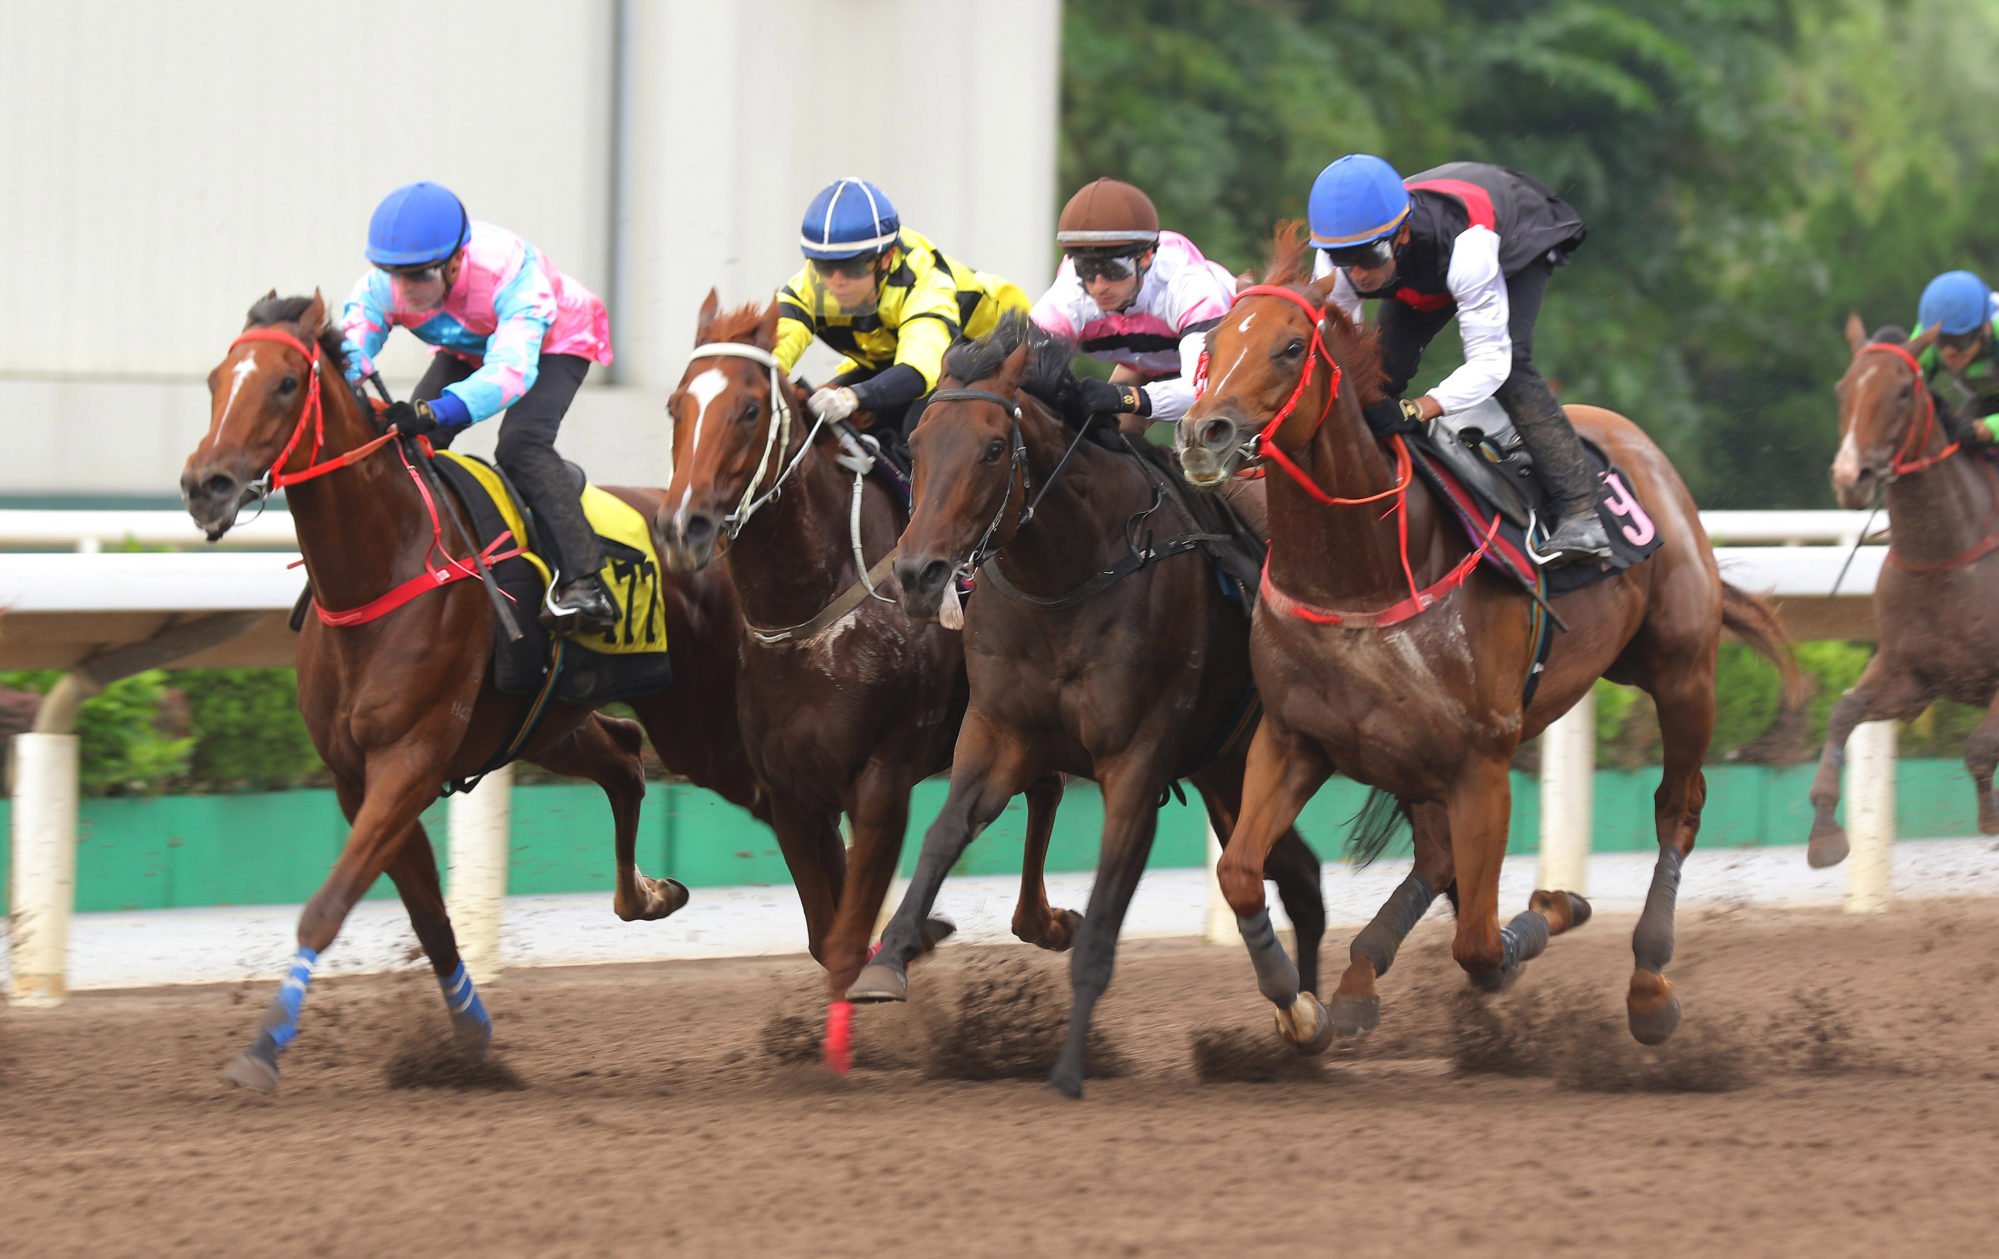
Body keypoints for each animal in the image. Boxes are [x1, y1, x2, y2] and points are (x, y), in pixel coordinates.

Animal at [181, 293, 763, 1095]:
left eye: (284, 385)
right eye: (215, 380)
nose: (205, 484)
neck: (381, 568)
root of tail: (703, 531)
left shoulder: (409, 759)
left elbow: (326, 907)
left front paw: (263, 1047)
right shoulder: (356, 777)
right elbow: (429, 917)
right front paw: (468, 1040)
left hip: (700, 723)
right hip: (553, 721)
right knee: (623, 756)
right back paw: (646, 894)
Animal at [651, 295, 1063, 1079]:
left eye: (748, 410)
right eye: (674, 406)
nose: (683, 526)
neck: (816, 605)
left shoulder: (883, 780)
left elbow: (844, 940)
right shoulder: (790, 790)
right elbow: (827, 928)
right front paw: (915, 938)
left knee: (1050, 789)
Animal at [843, 319, 1327, 1103]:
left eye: (993, 448)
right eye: (916, 443)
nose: (918, 574)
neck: (1067, 576)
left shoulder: (1135, 765)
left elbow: (1102, 918)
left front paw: (1069, 1069)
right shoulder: (998, 732)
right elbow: (943, 834)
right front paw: (887, 958)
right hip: (1229, 772)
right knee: (1293, 878)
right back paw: (1301, 1018)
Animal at [1167, 229, 1799, 1055]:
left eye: (1290, 346)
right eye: (1210, 344)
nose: (1202, 433)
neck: (1361, 576)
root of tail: (1638, 445)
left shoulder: (1482, 762)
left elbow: (1476, 940)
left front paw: (1552, 910)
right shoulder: (1291, 738)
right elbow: (1241, 871)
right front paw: (1297, 1004)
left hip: (1682, 671)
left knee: (1677, 808)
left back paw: (1648, 984)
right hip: (1414, 755)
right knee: (1435, 858)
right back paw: (1358, 980)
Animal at [1815, 317, 1999, 867]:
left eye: (1902, 391)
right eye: (1843, 388)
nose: (1851, 476)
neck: (1944, 557)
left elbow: (1979, 747)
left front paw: (1991, 815)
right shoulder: (1912, 677)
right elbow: (1843, 711)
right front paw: (1825, 832)